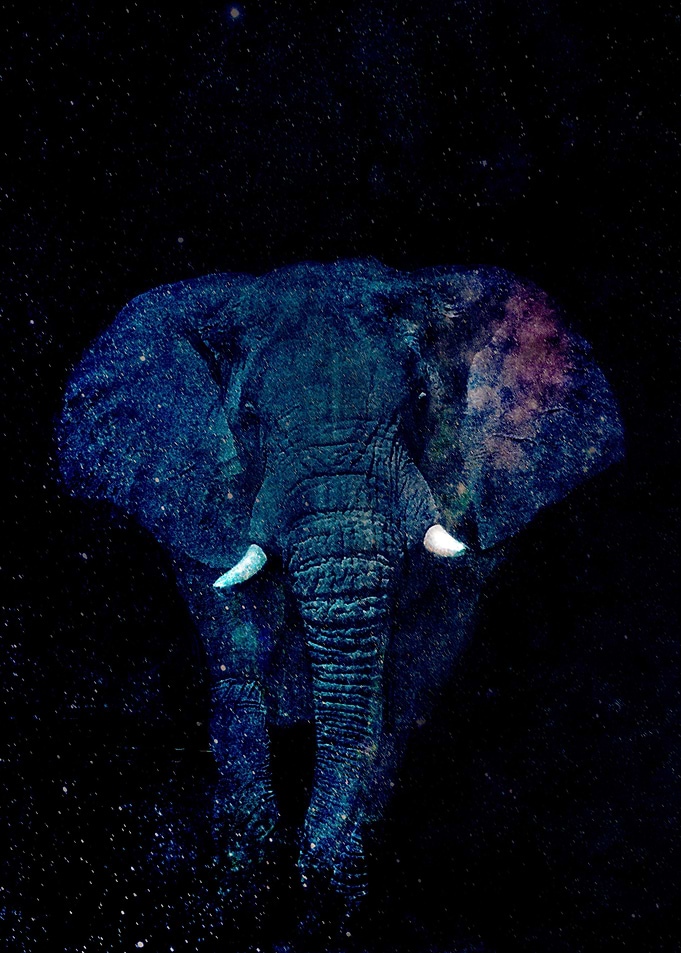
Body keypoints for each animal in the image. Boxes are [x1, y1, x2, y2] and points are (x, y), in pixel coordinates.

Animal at [57, 257, 623, 928]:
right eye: (249, 418)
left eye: (422, 402)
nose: (311, 876)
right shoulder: (195, 487)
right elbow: (235, 638)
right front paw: (249, 867)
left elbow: (417, 665)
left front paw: (337, 870)